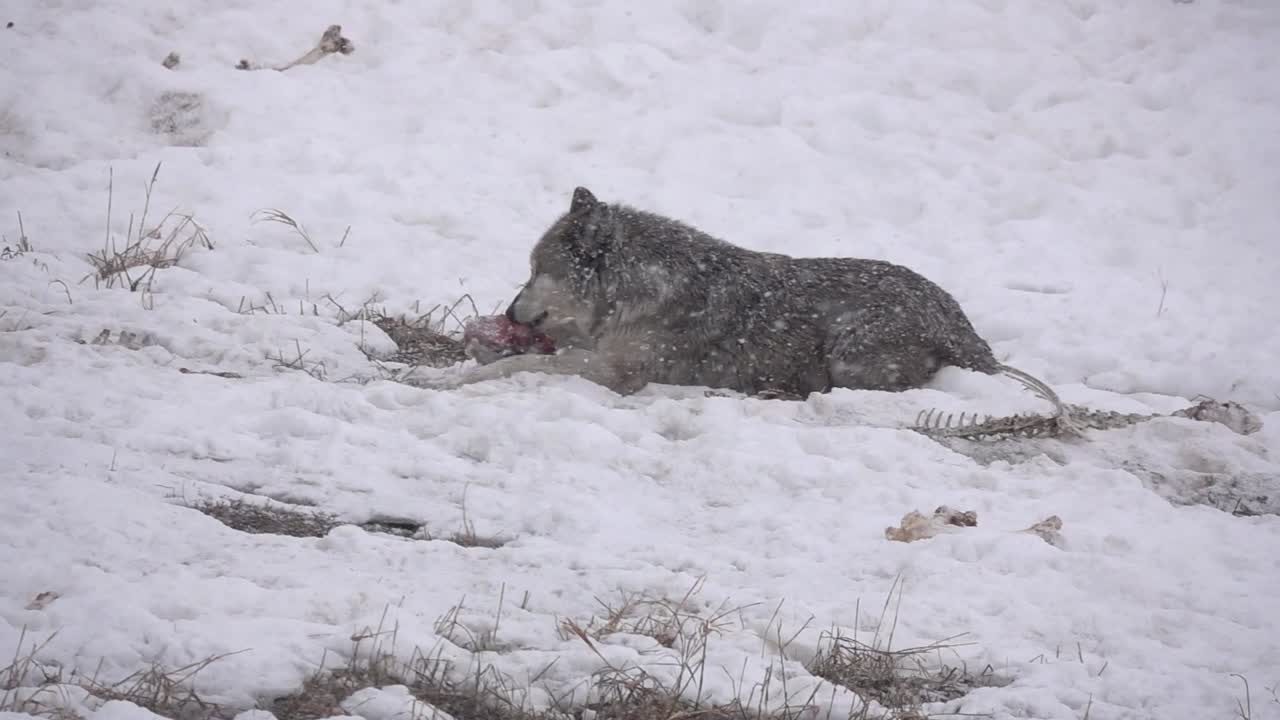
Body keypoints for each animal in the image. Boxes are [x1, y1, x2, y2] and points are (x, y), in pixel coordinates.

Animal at [446, 187, 1001, 397]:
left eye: (536, 270)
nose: (510, 311)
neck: (638, 289)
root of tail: (964, 325)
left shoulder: (614, 372)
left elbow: (524, 364)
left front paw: (462, 377)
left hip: (849, 352)